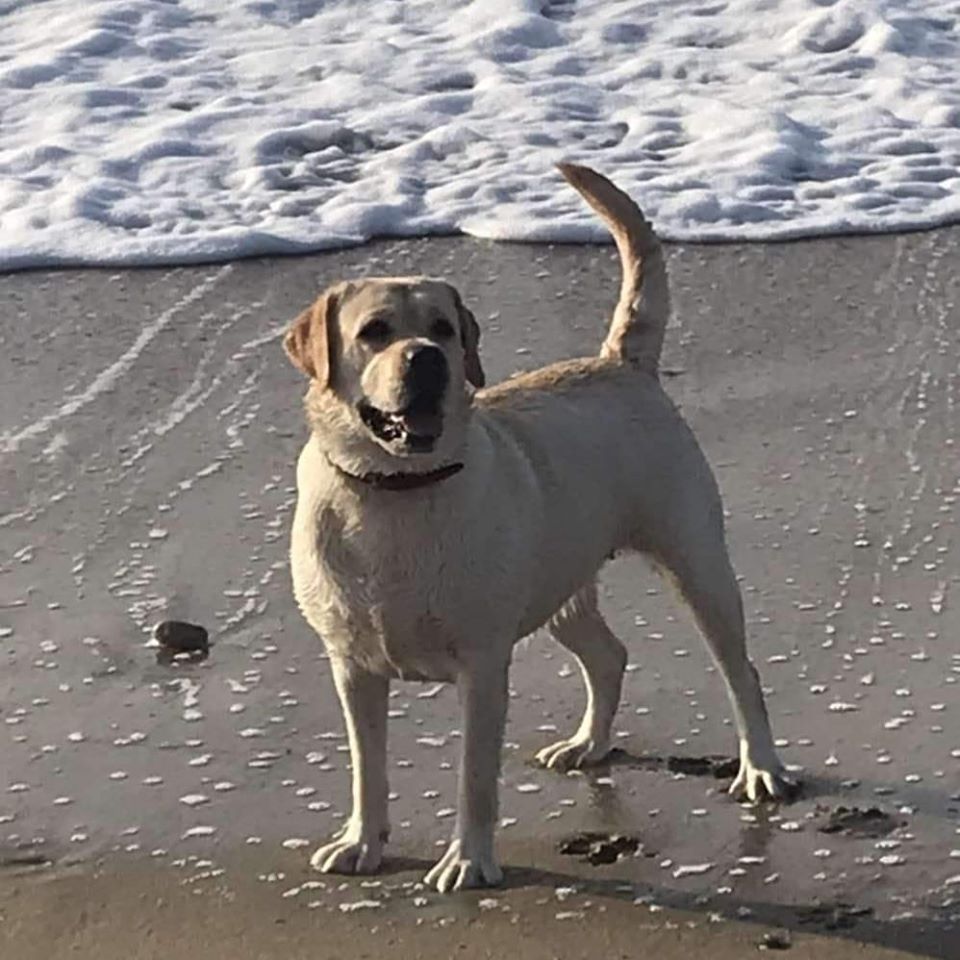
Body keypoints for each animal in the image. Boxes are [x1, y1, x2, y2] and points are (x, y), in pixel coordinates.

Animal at [284, 165, 796, 892]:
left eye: (443, 328)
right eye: (374, 331)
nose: (427, 358)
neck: (397, 492)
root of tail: (619, 361)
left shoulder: (482, 664)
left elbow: (475, 779)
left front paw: (468, 860)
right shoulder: (352, 667)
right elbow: (367, 768)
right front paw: (361, 842)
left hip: (696, 561)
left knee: (741, 672)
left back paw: (761, 768)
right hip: (560, 583)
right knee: (609, 655)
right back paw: (588, 743)